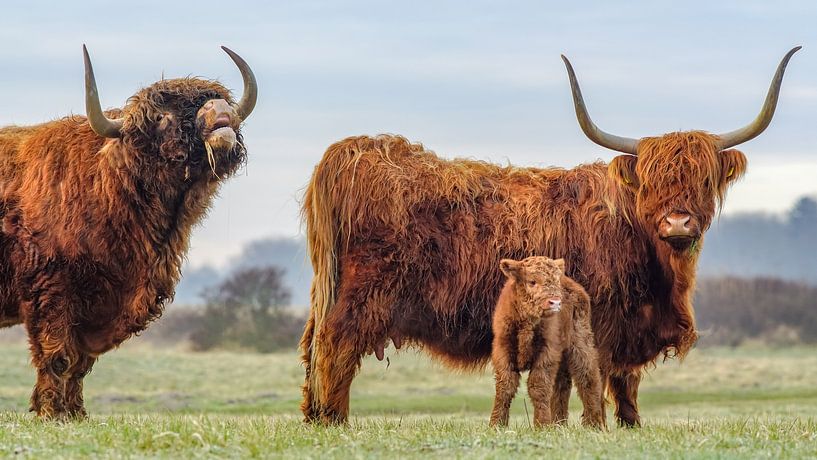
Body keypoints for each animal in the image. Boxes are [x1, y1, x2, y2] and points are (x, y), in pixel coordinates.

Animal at [0, 45, 256, 416]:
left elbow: (81, 361)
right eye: (162, 116)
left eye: (216, 98)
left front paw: (76, 413)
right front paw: (51, 412)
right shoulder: (51, 292)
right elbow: (58, 356)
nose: (219, 111)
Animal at [488, 256, 604, 430]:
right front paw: (496, 425)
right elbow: (505, 387)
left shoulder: (547, 352)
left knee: (588, 378)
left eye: (555, 281)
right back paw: (559, 423)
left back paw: (593, 425)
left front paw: (542, 425)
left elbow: (538, 387)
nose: (555, 302)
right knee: (562, 385)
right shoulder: (503, 349)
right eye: (532, 281)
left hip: (580, 344)